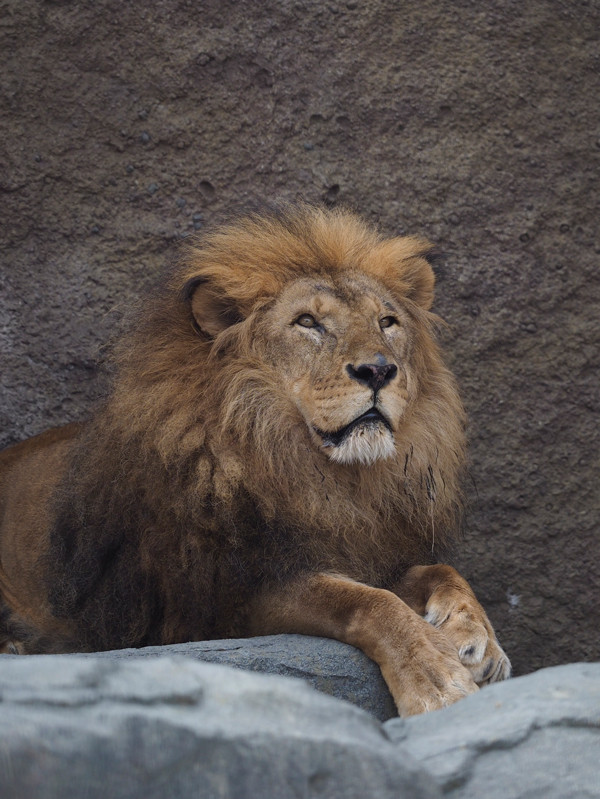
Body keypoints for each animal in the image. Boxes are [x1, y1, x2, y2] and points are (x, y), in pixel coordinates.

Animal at [0, 206, 510, 720]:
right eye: (307, 322)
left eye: (387, 321)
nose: (379, 370)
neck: (325, 477)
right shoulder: (232, 595)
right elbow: (365, 603)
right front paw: (434, 677)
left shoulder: (364, 548)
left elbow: (437, 571)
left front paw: (478, 641)